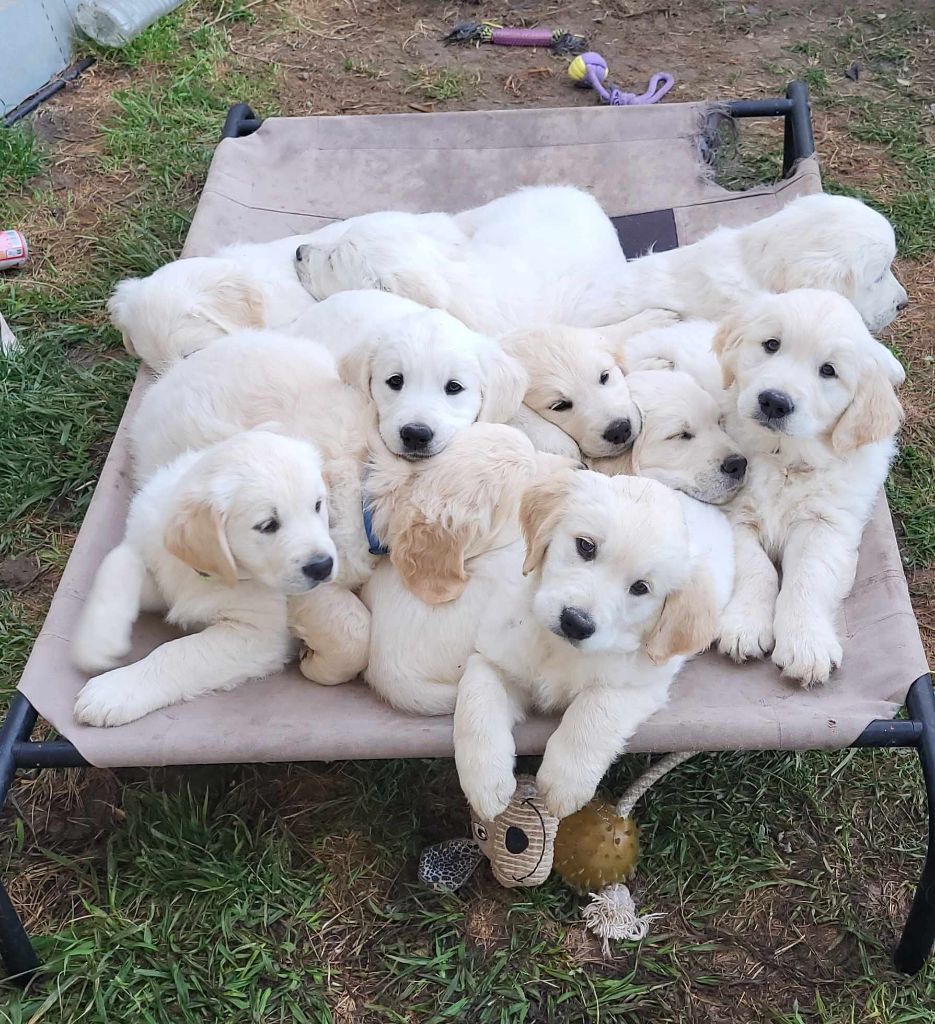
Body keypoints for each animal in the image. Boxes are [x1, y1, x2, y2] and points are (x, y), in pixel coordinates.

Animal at [72, 432, 335, 729]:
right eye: (267, 525)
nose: (323, 566)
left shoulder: (259, 634)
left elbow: (177, 653)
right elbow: (117, 563)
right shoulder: (152, 552)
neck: (211, 574)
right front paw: (96, 644)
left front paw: (113, 690)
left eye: (317, 505)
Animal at [456, 468, 733, 819]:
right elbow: (476, 702)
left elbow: (593, 712)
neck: (559, 650)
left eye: (640, 587)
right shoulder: (493, 656)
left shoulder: (638, 685)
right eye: (585, 546)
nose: (575, 622)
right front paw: (484, 782)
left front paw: (564, 782)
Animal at [712, 288, 901, 688]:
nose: (774, 401)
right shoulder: (733, 512)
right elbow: (756, 567)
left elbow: (807, 578)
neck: (784, 459)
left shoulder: (825, 525)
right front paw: (745, 625)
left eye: (828, 371)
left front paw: (806, 645)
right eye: (771, 345)